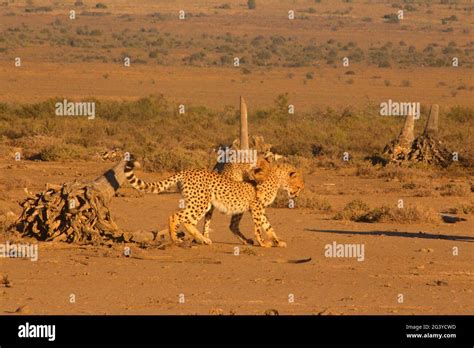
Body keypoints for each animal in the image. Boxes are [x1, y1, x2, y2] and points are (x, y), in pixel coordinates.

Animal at [124, 159, 302, 246]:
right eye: (299, 185)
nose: (298, 192)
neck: (278, 180)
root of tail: (187, 170)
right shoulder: (256, 207)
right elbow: (259, 227)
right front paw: (263, 242)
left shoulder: (258, 208)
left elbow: (268, 226)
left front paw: (277, 241)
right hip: (200, 202)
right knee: (178, 216)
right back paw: (177, 239)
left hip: (203, 203)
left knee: (188, 220)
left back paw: (201, 239)